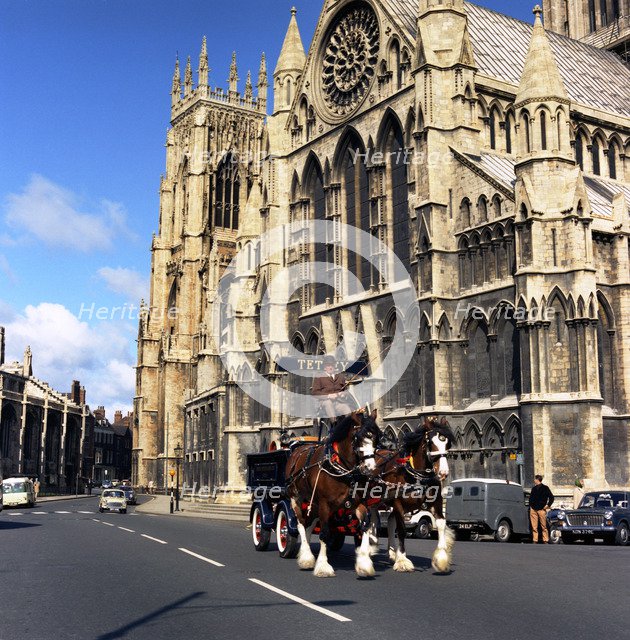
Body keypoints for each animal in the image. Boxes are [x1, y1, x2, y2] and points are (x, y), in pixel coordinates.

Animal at [285, 411, 381, 578]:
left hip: (313, 502)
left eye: (376, 438)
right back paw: (306, 557)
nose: (370, 469)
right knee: (301, 523)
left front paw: (364, 563)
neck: (342, 467)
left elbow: (365, 526)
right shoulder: (325, 504)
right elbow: (324, 533)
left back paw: (306, 552)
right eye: (358, 438)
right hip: (296, 497)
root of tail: (296, 450)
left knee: (309, 523)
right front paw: (323, 566)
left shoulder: (358, 503)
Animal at [371, 417, 455, 573]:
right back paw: (371, 546)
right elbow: (402, 530)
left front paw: (441, 558)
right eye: (431, 443)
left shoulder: (436, 504)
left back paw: (392, 552)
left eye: (447, 443)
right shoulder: (398, 504)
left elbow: (441, 524)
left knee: (390, 521)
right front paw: (402, 561)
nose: (443, 472)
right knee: (373, 519)